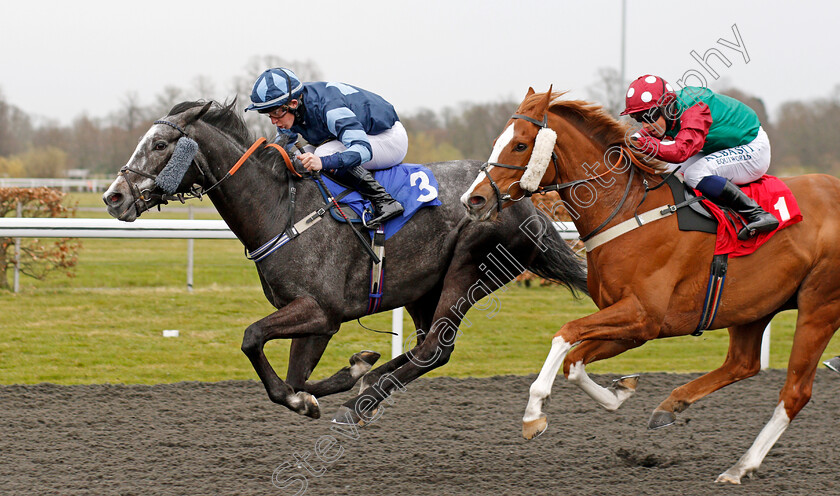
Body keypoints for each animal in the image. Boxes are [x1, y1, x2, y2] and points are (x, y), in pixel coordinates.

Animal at [460, 87, 840, 482]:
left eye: (520, 145)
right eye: (496, 141)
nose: (474, 200)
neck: (627, 210)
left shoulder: (644, 315)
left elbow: (565, 334)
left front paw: (534, 413)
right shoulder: (633, 326)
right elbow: (575, 363)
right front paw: (621, 391)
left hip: (819, 306)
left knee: (795, 391)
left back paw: (741, 465)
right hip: (756, 305)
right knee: (743, 364)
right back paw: (672, 405)